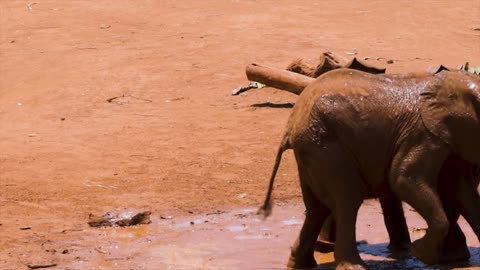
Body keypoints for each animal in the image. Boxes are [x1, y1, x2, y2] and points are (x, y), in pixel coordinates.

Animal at [258, 69, 480, 270]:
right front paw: (420, 254)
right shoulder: (423, 135)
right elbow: (404, 179)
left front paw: (447, 258)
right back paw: (354, 267)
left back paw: (300, 265)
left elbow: (462, 190)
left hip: (311, 151)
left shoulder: (453, 137)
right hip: (324, 146)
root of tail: (291, 122)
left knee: (317, 209)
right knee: (347, 199)